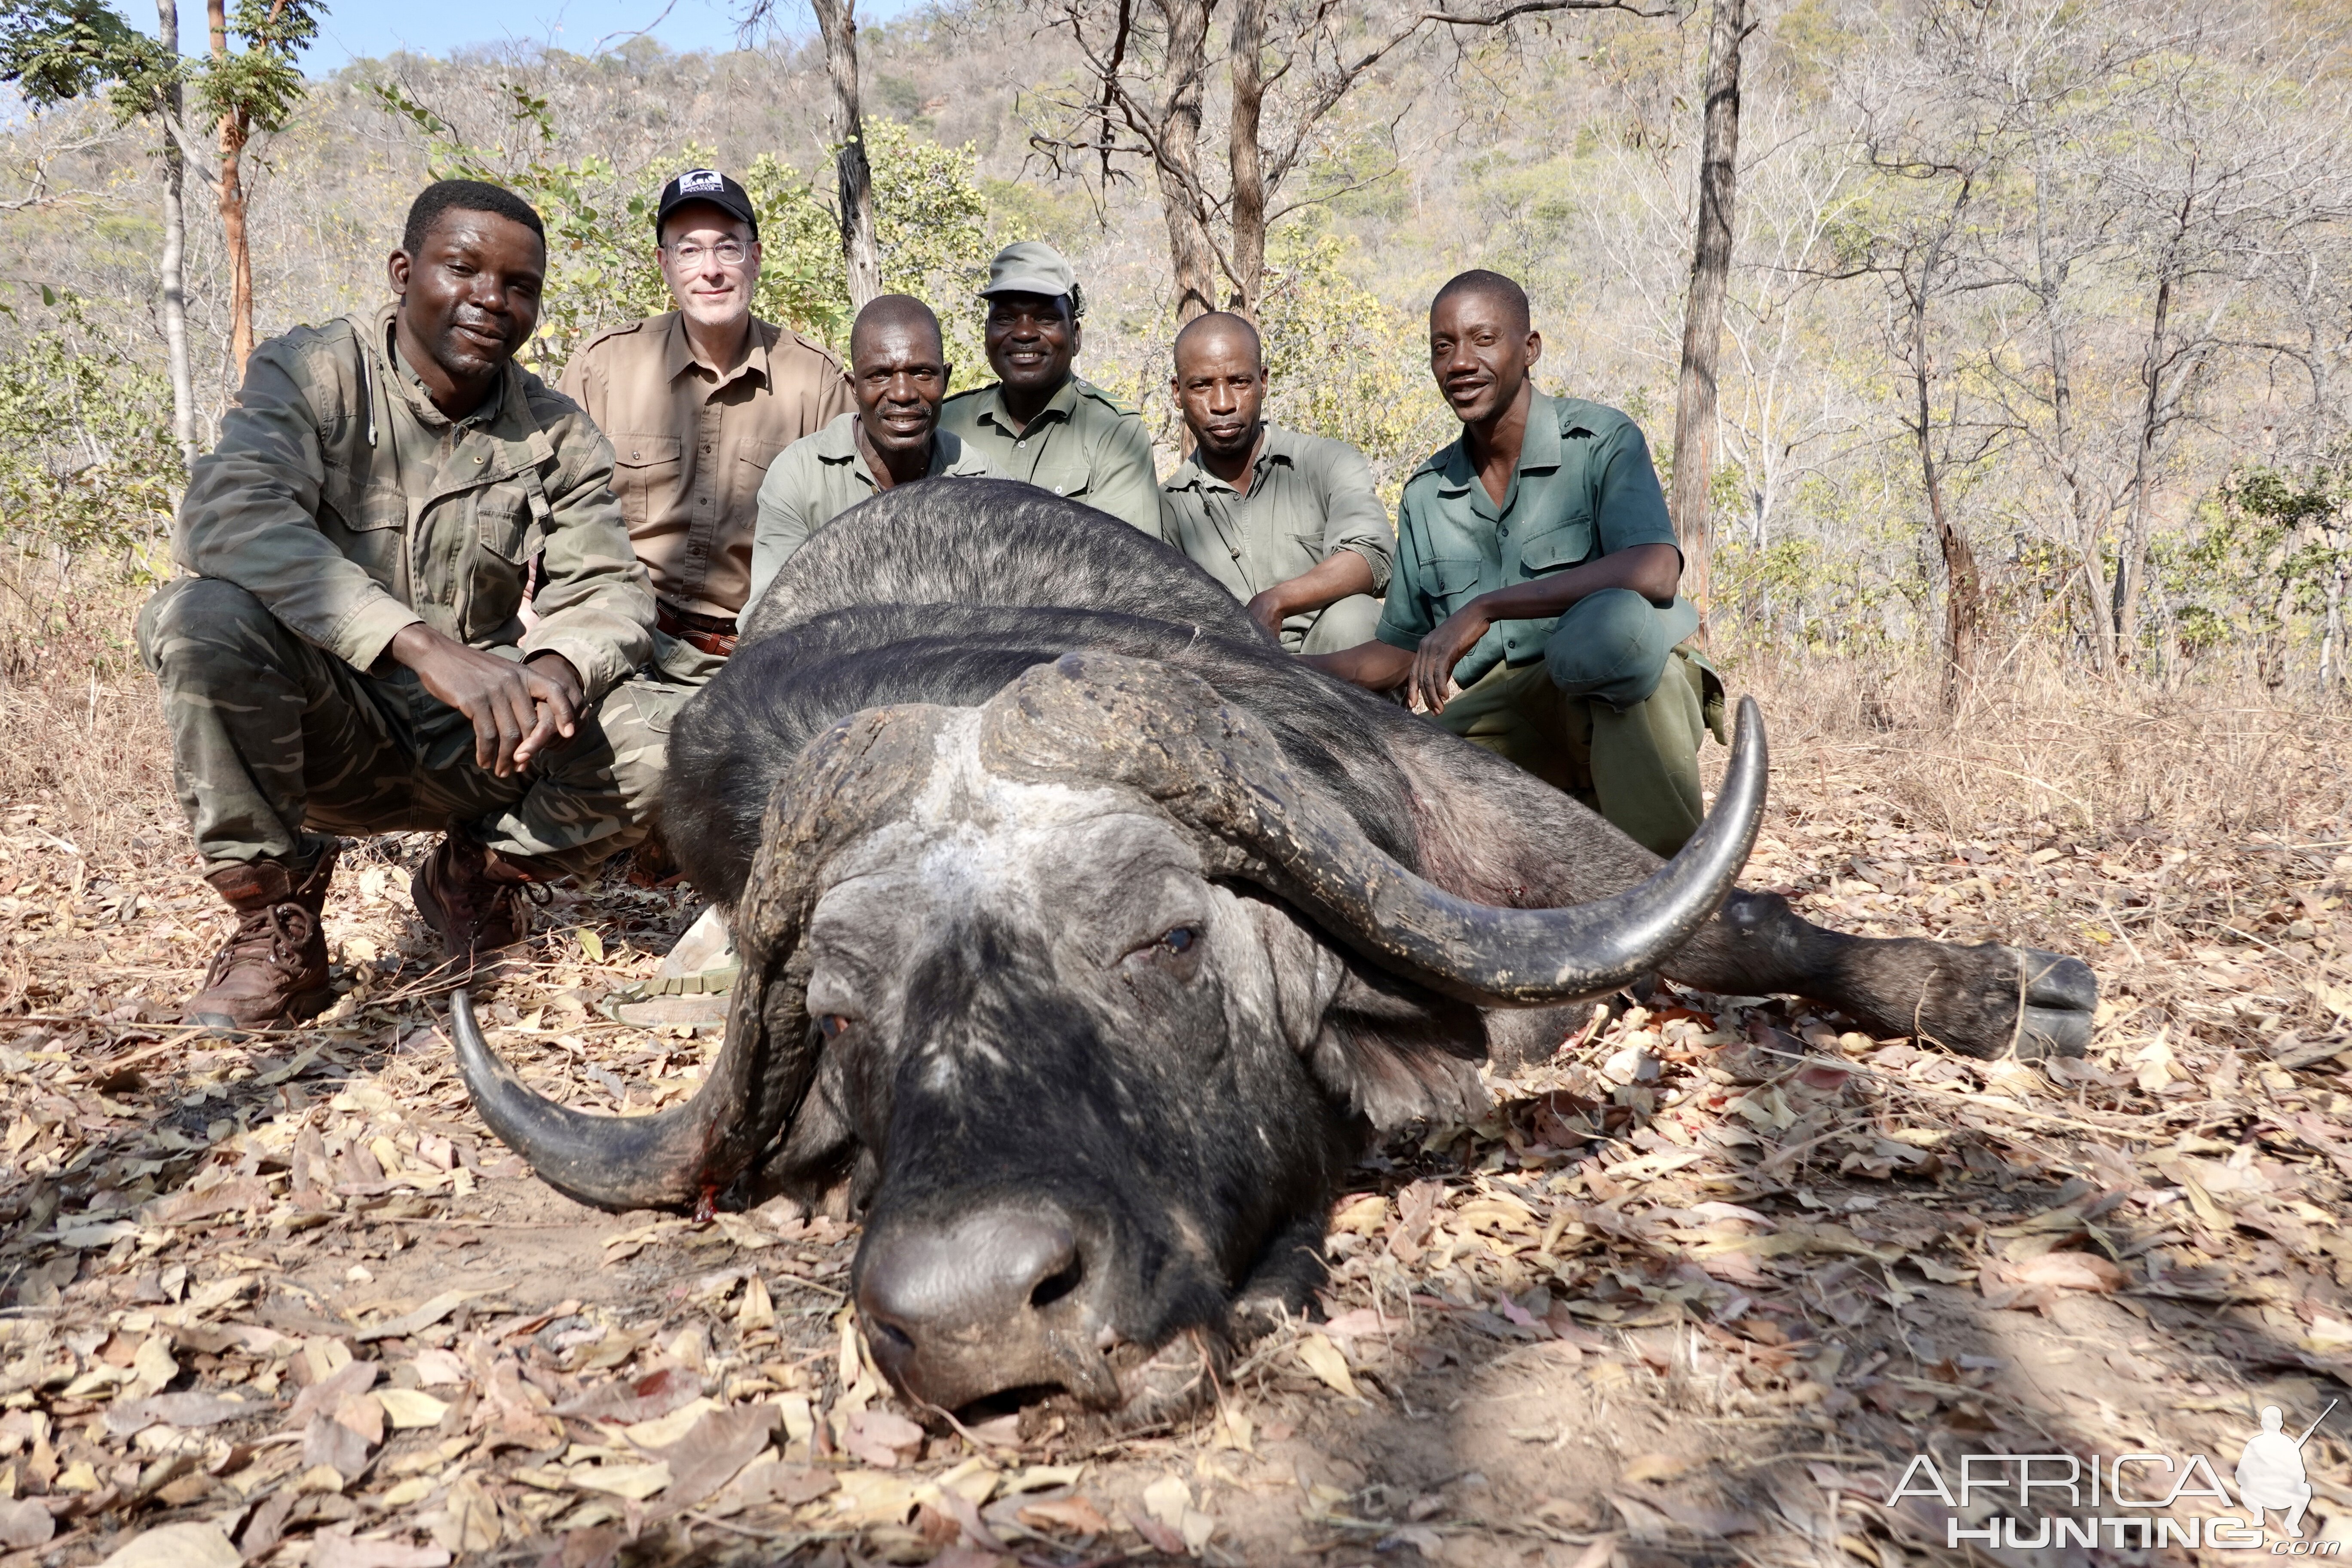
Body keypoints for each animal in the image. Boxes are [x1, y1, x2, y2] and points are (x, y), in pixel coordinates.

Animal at [444, 479, 2098, 1420]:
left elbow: (1739, 920)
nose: (974, 1312)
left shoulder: (1454, 801)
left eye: (1169, 937)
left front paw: (2001, 988)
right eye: (844, 1017)